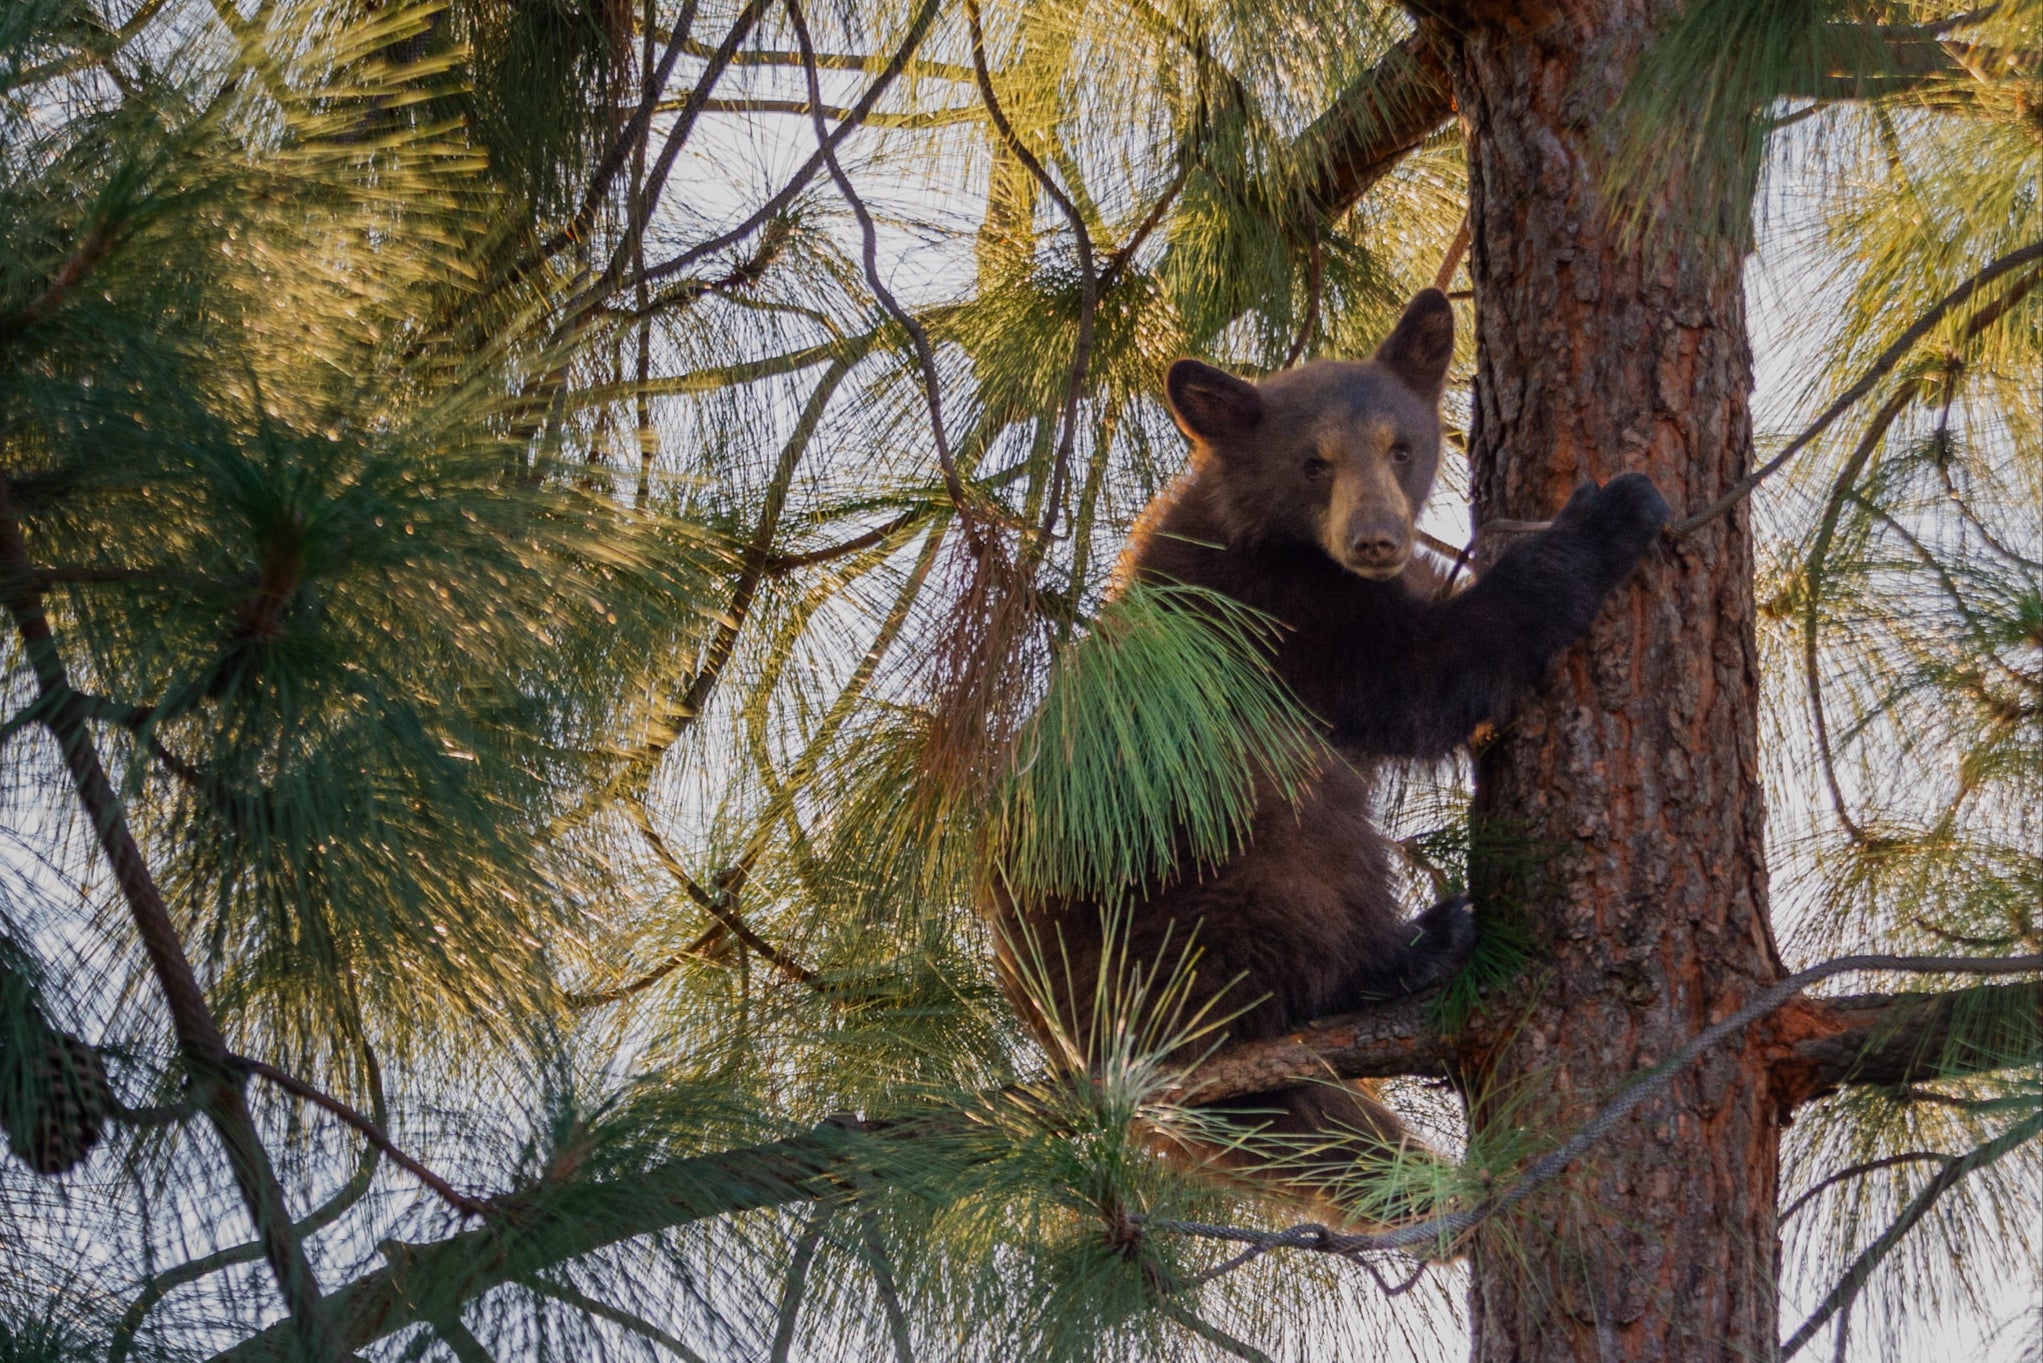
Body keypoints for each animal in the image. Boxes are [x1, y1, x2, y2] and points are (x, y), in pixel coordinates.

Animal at [988, 288, 1671, 1220]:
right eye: (1313, 463)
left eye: (1401, 446)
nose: (1377, 538)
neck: (1267, 533)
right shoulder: (1286, 617)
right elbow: (1427, 673)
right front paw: (1608, 516)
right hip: (1189, 873)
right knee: (1311, 876)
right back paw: (1414, 947)